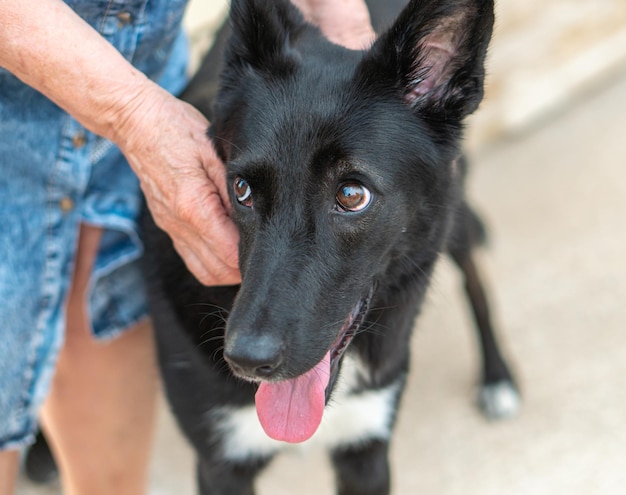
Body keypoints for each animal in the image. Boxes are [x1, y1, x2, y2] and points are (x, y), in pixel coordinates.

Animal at [141, 0, 516, 494]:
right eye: (241, 189)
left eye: (352, 195)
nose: (247, 360)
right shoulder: (220, 464)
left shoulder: (366, 448)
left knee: (474, 278)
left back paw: (498, 377)